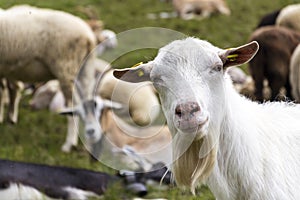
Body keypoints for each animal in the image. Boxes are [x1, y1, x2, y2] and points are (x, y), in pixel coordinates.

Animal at [0, 5, 97, 152]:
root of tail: (88, 37)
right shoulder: (7, 68)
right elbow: (10, 90)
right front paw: (9, 120)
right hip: (85, 71)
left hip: (66, 69)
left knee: (73, 107)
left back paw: (69, 145)